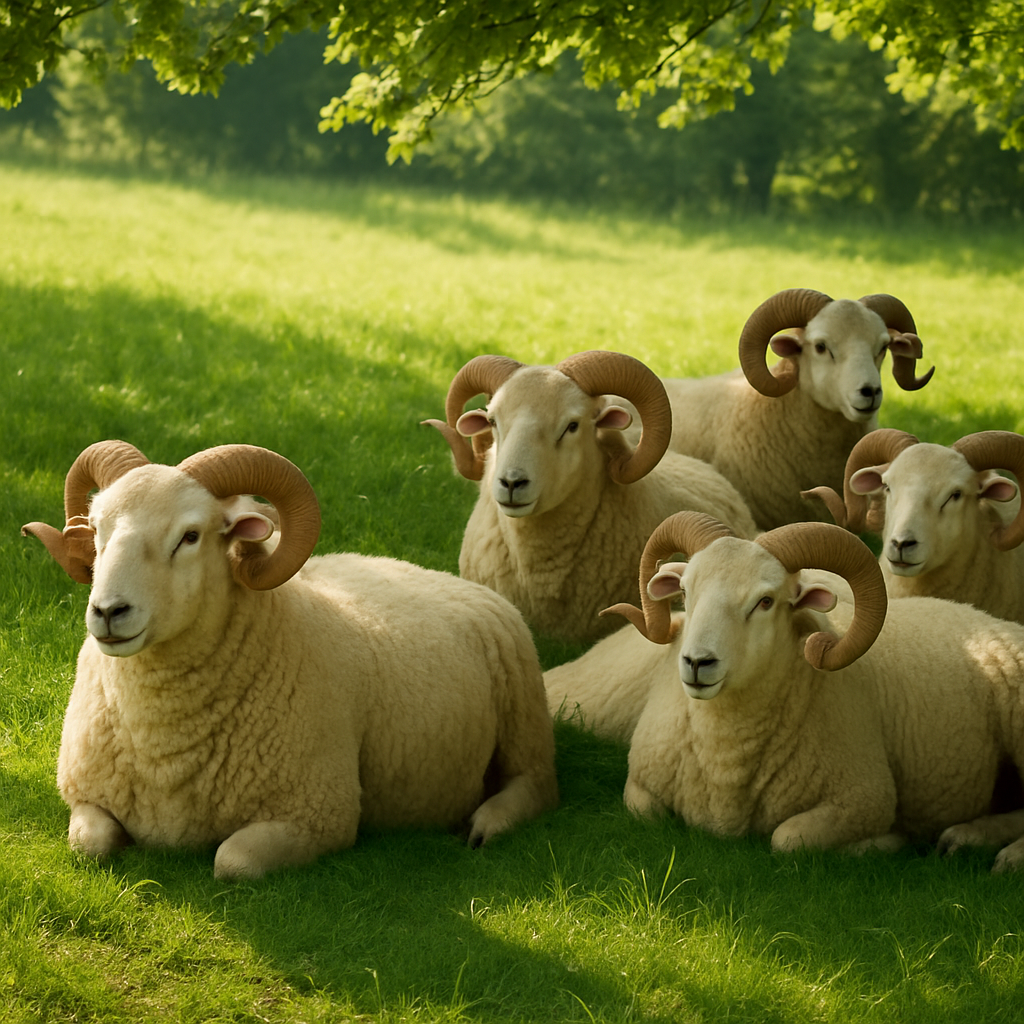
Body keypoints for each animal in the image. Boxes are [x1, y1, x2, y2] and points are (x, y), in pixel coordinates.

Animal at [21, 441, 559, 880]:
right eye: (97, 529)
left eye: (191, 536)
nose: (109, 612)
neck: (162, 744)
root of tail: (430, 572)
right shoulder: (84, 795)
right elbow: (89, 845)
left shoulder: (319, 815)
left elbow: (232, 862)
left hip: (524, 719)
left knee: (535, 784)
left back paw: (485, 824)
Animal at [547, 510, 1024, 871]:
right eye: (684, 590)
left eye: (766, 602)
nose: (697, 663)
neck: (724, 754)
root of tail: (986, 616)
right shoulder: (640, 786)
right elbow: (648, 815)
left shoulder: (863, 798)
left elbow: (788, 839)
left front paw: (891, 843)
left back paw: (986, 848)